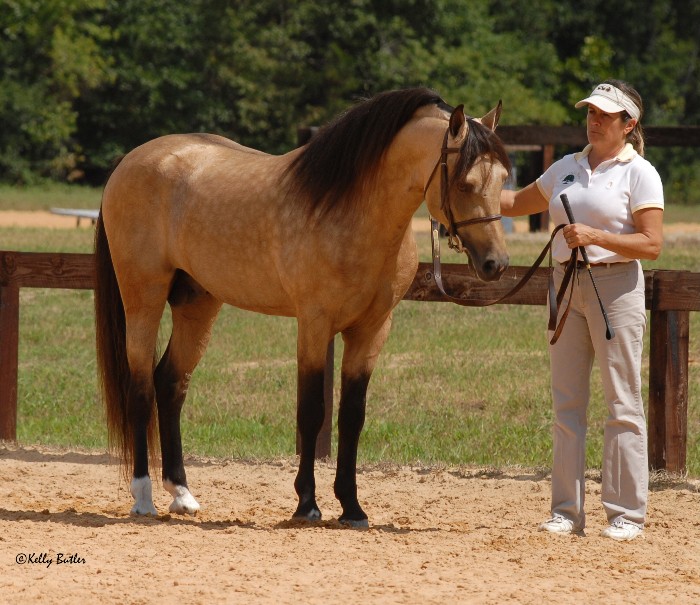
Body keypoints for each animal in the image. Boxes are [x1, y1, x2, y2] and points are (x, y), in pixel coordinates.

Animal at [93, 87, 512, 528]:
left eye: (503, 179)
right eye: (465, 183)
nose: (496, 264)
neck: (352, 213)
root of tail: (131, 161)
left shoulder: (372, 330)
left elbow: (352, 415)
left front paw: (352, 508)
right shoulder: (314, 323)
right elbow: (312, 410)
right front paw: (307, 503)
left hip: (198, 304)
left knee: (171, 384)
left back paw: (182, 494)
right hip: (143, 297)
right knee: (141, 388)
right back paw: (143, 498)